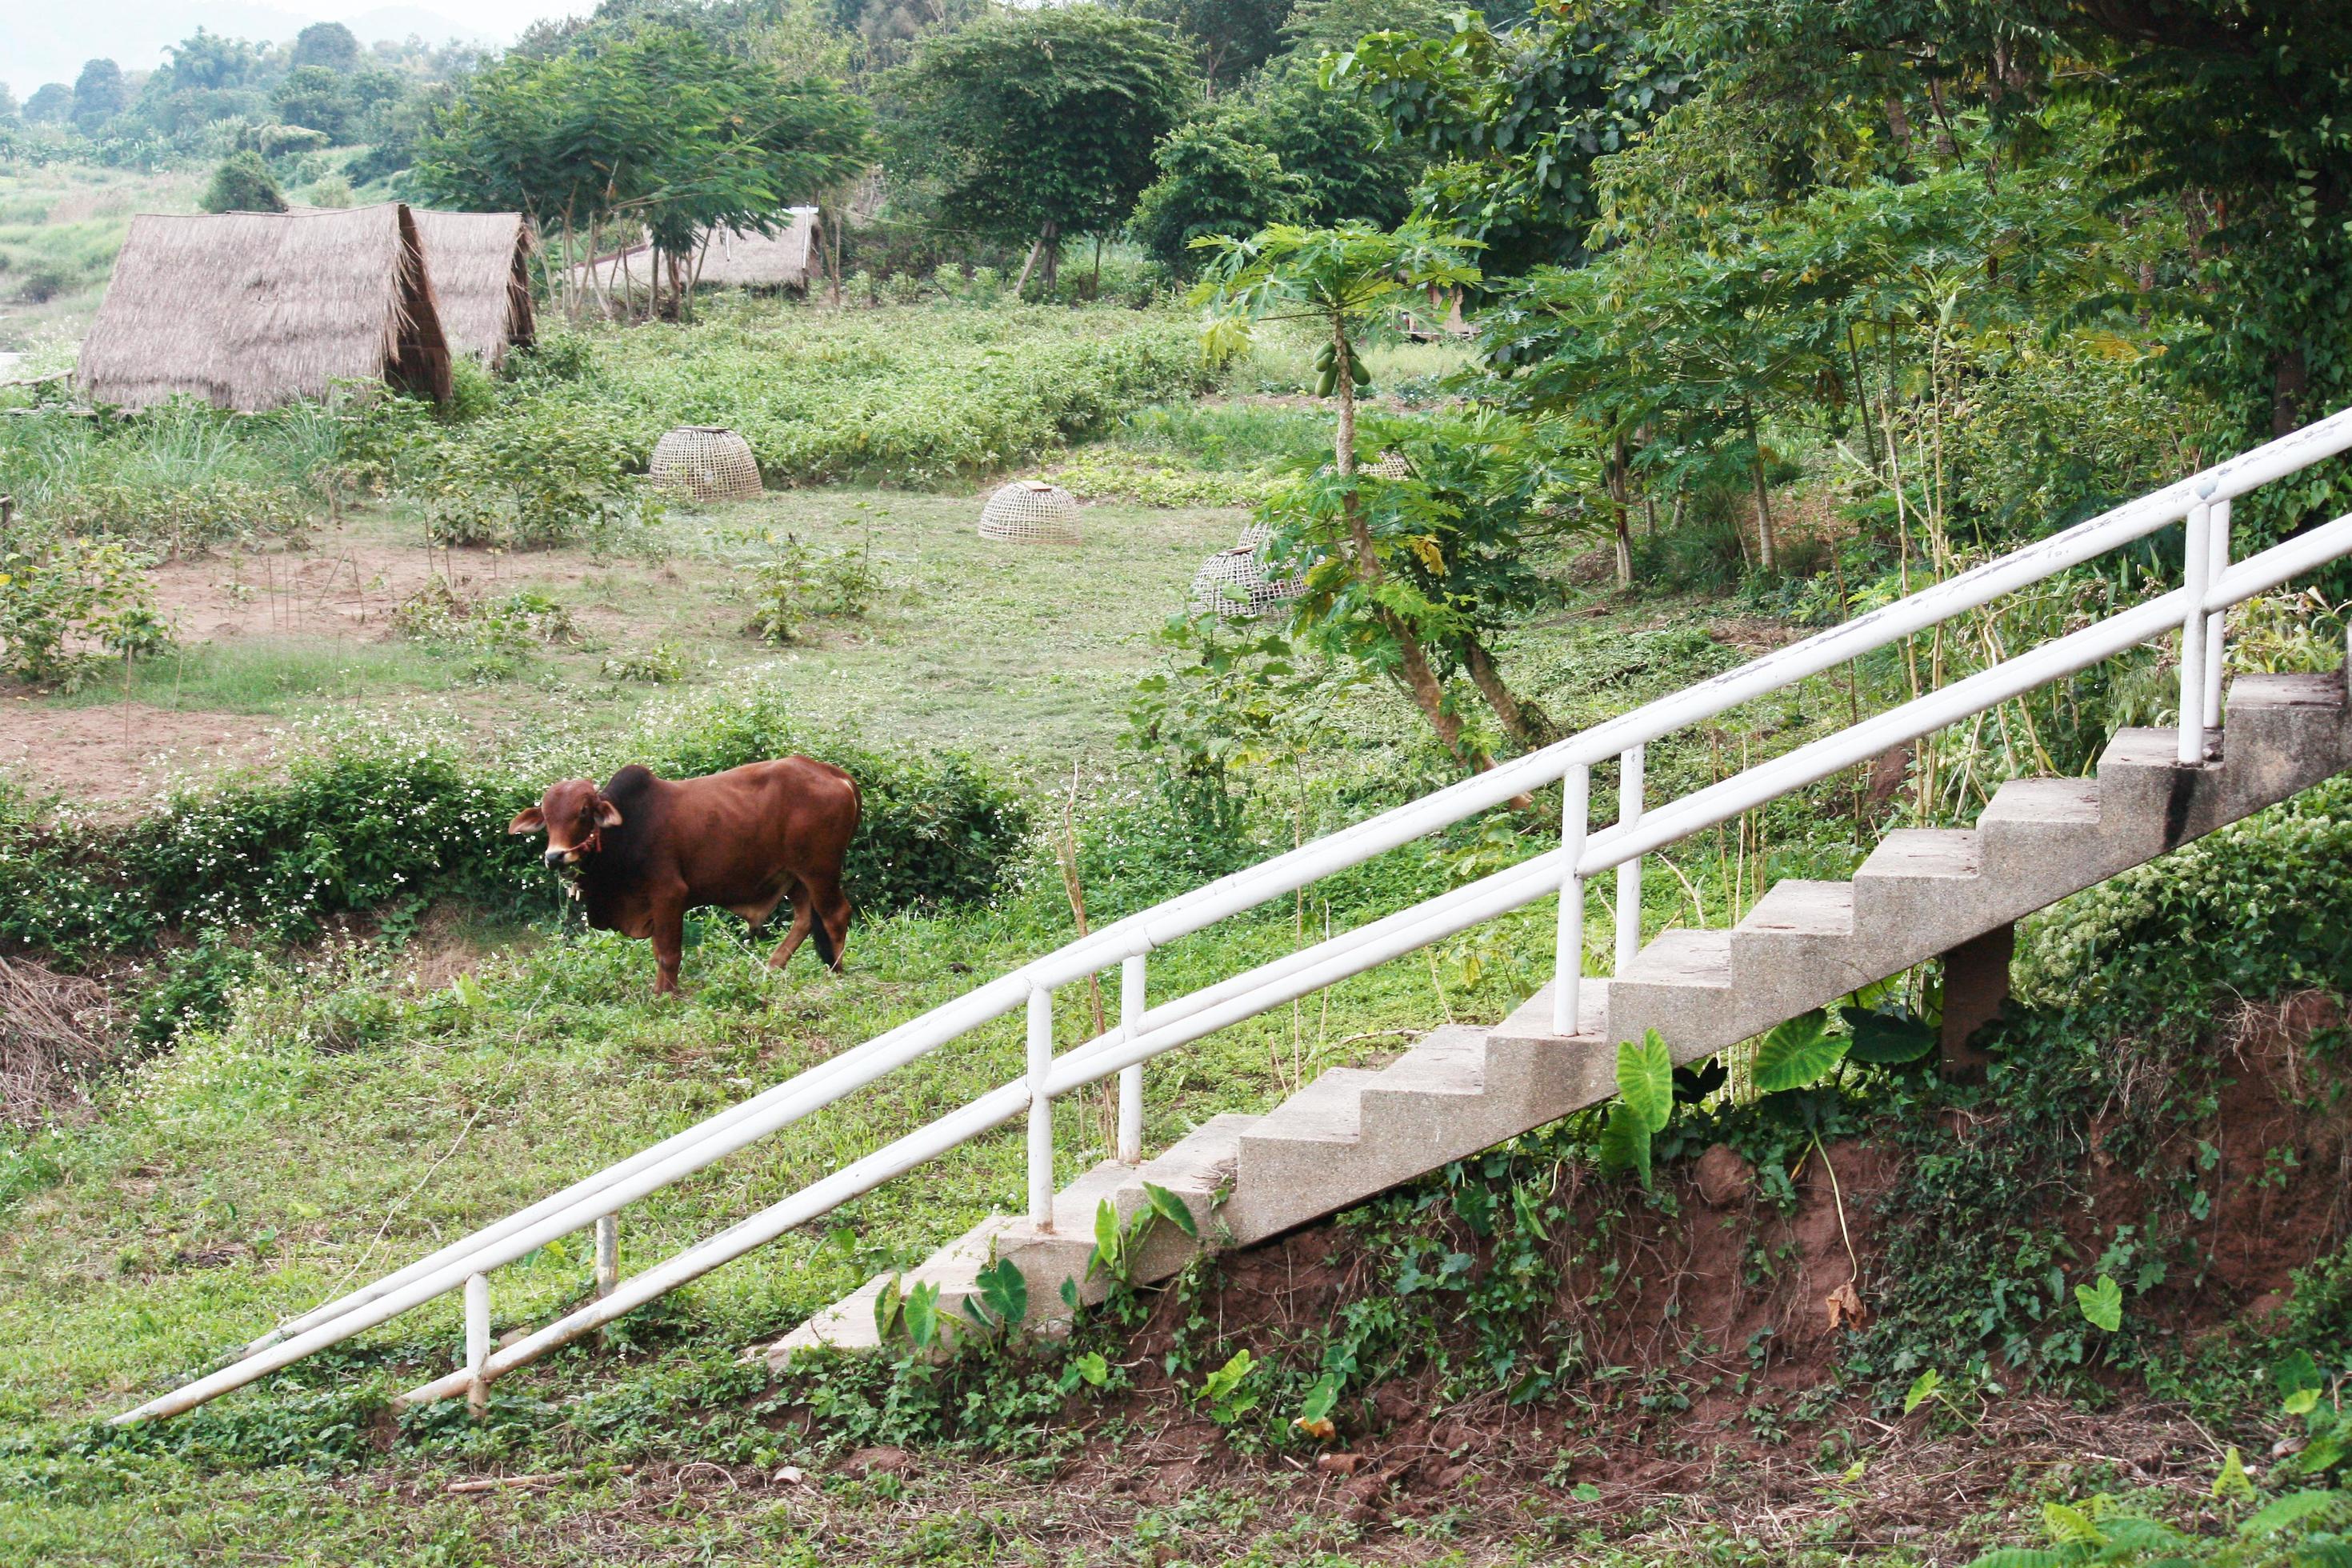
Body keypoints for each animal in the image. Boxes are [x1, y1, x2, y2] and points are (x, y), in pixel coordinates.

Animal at [510, 762, 861, 992]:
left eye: (583, 812)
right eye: (546, 816)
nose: (555, 857)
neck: (627, 830)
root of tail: (835, 773)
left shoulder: (669, 895)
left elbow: (668, 954)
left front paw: (667, 997)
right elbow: (659, 953)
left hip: (819, 870)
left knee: (835, 915)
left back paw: (836, 972)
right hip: (794, 875)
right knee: (804, 920)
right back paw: (771, 969)